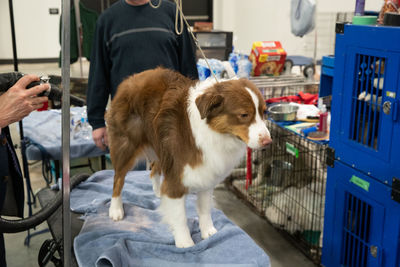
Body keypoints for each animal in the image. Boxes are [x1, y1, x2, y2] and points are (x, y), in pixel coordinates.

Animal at [105, 68, 272, 248]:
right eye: (244, 114)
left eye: (264, 112)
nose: (268, 142)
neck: (214, 132)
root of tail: (130, 79)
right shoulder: (176, 176)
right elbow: (179, 216)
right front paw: (185, 242)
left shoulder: (206, 173)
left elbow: (205, 208)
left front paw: (208, 231)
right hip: (126, 145)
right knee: (118, 178)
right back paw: (115, 209)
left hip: (161, 147)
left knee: (154, 170)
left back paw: (158, 191)